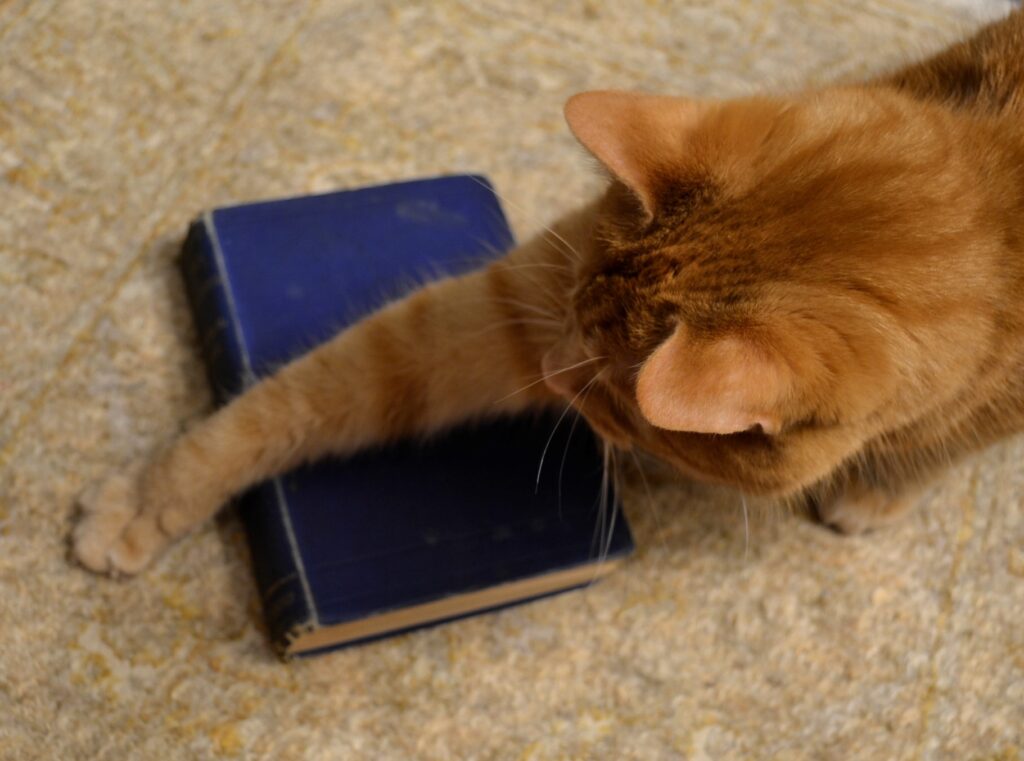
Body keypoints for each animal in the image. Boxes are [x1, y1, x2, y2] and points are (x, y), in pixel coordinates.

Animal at [74, 11, 1024, 573]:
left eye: (621, 402)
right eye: (567, 310)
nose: (553, 373)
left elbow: (946, 438)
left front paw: (881, 484)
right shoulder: (512, 302)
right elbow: (286, 408)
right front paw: (149, 499)